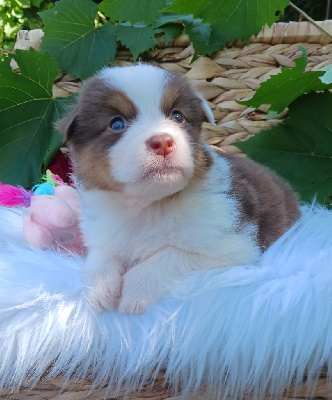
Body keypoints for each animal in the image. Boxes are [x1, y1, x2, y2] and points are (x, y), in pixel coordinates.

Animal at [57, 63, 300, 316]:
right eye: (116, 124)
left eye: (177, 116)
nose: (163, 142)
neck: (149, 206)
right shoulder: (105, 234)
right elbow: (100, 256)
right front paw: (98, 288)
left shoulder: (235, 245)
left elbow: (171, 256)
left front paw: (135, 291)